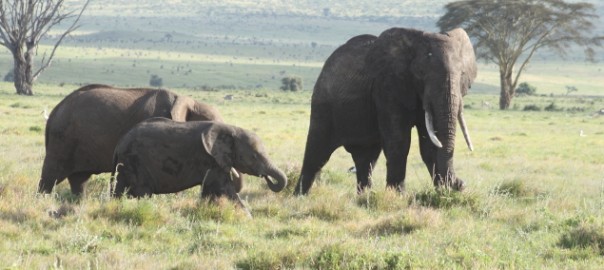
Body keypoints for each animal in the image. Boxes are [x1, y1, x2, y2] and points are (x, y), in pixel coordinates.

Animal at [111, 118, 288, 213]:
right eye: (254, 156)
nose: (267, 177)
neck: (232, 129)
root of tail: (119, 143)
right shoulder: (210, 160)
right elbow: (224, 188)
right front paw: (247, 218)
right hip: (136, 162)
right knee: (143, 192)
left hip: (126, 164)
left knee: (118, 190)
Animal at [296, 28, 476, 195]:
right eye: (421, 74)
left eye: (462, 74)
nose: (461, 184)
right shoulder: (387, 87)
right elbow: (399, 140)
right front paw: (398, 196)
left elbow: (429, 144)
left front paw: (442, 191)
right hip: (323, 104)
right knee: (317, 154)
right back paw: (300, 196)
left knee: (366, 159)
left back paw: (363, 198)